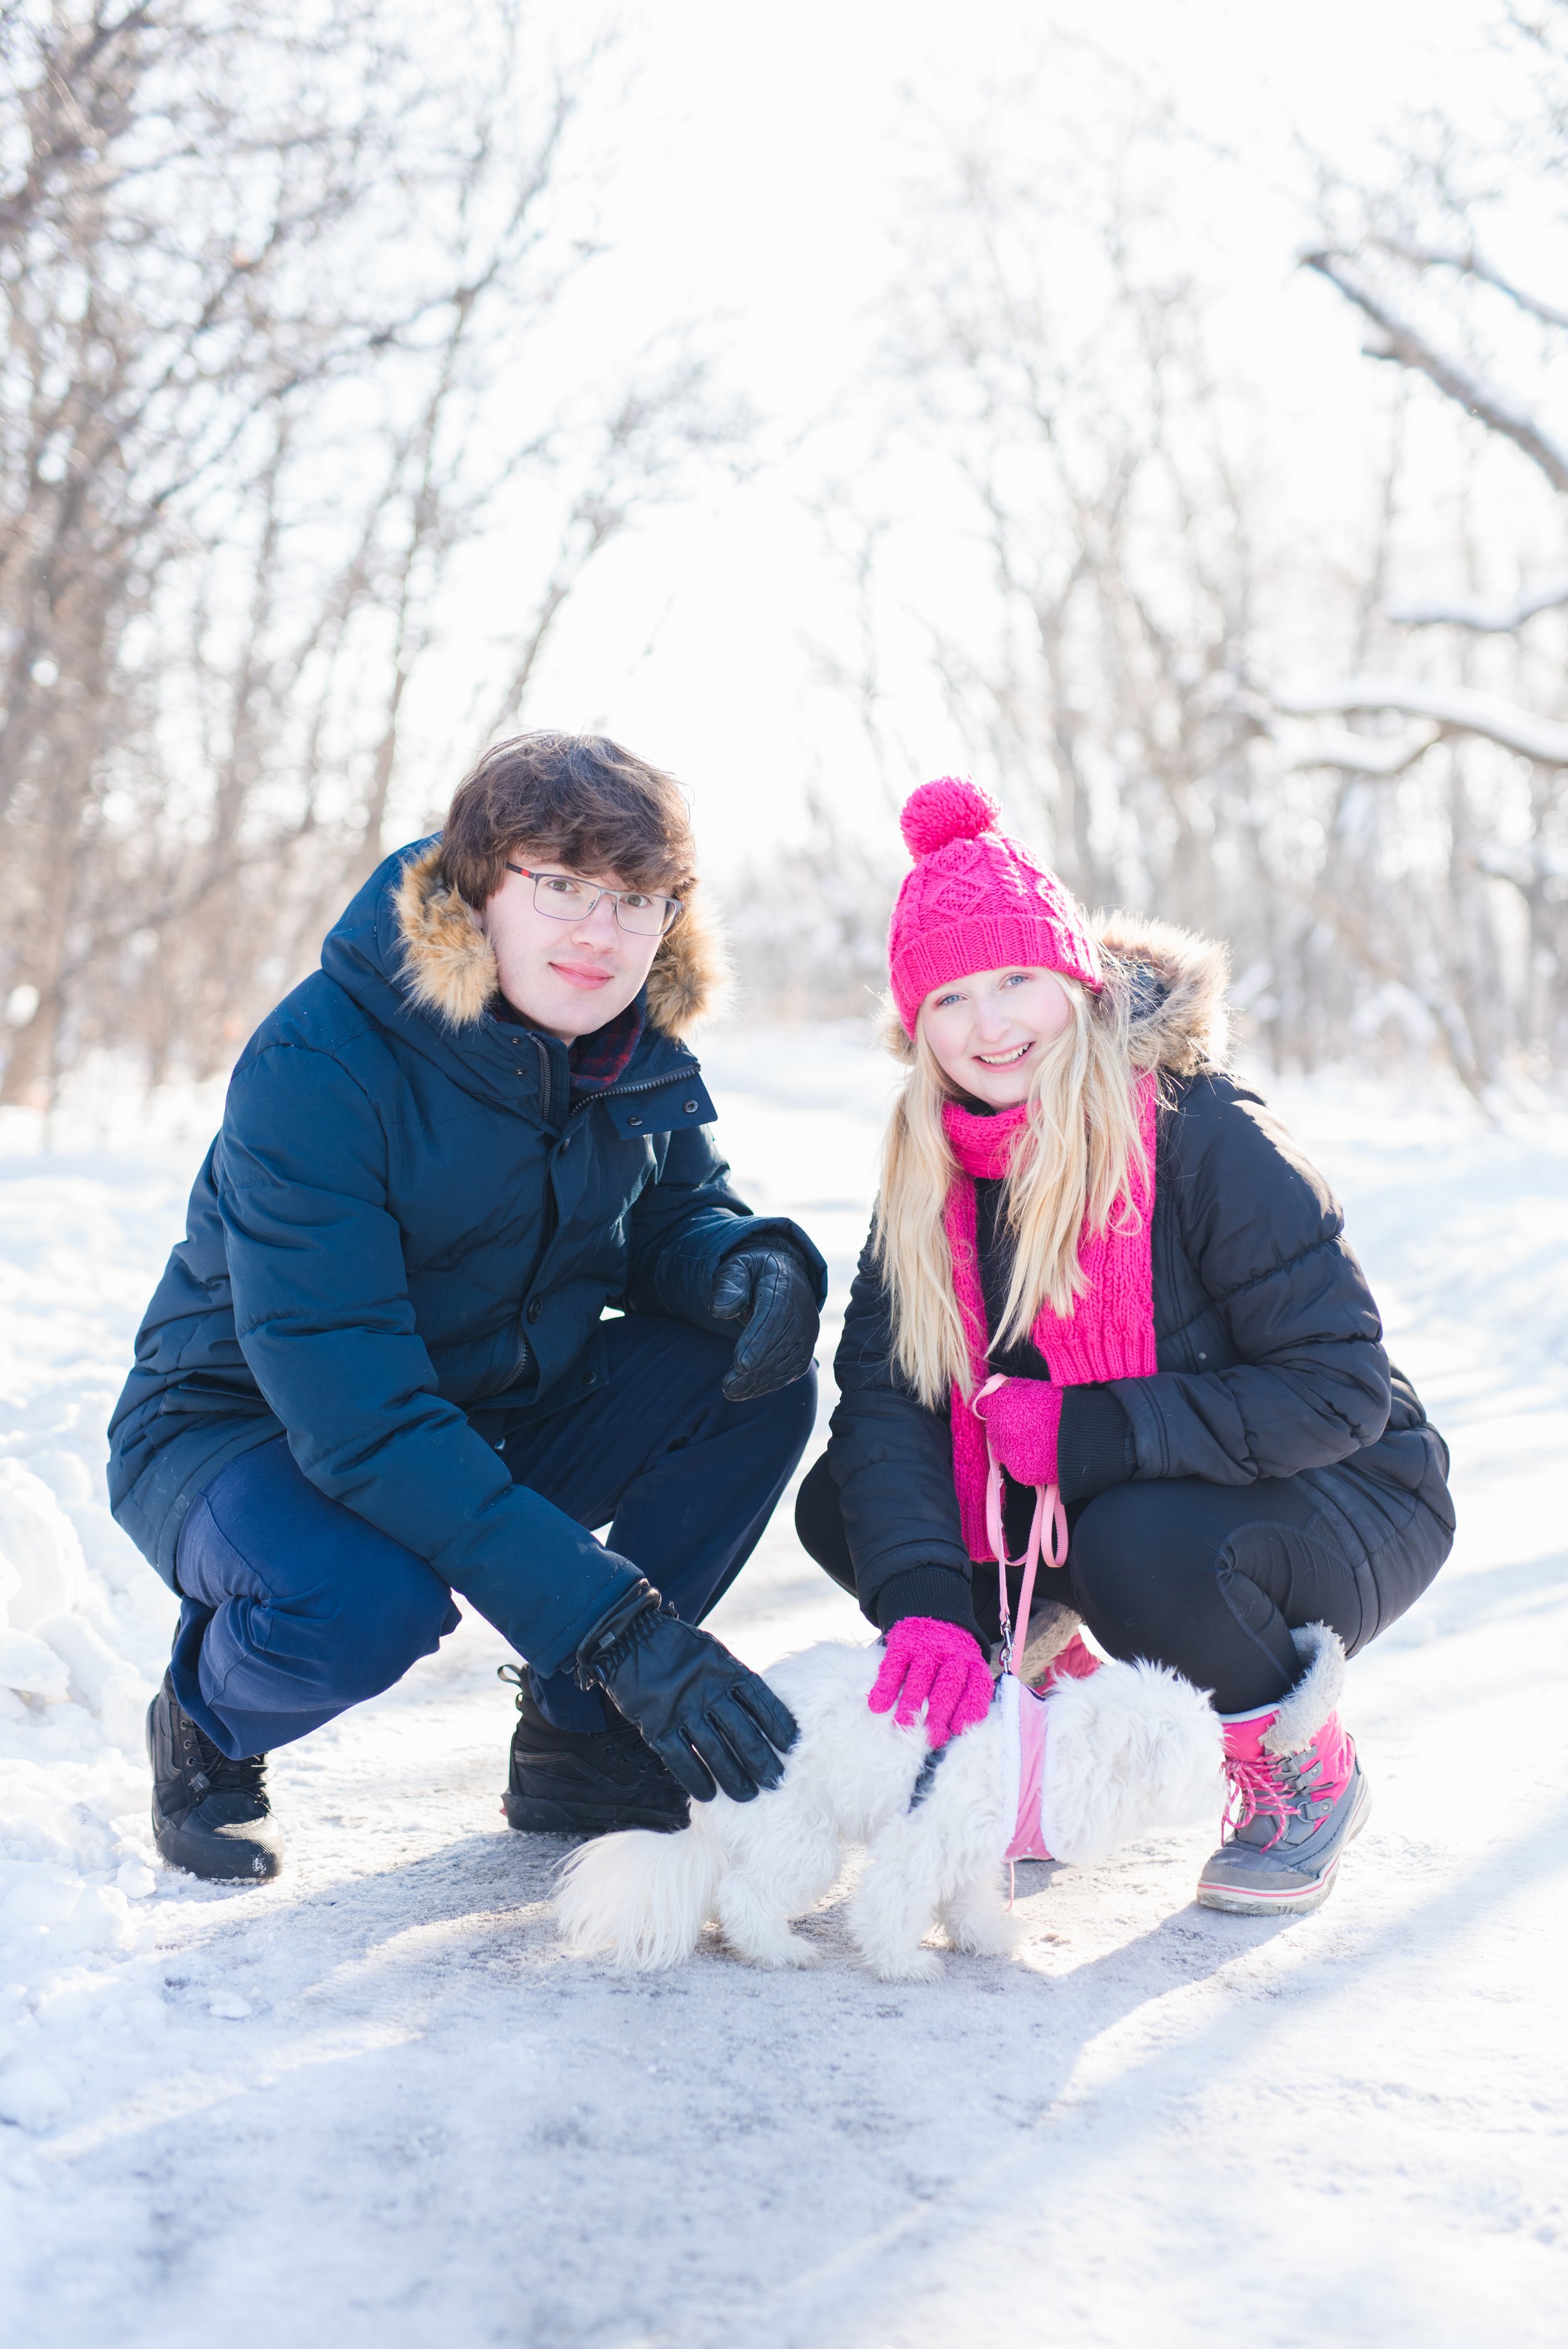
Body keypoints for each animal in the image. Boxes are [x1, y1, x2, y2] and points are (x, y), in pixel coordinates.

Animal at [551, 1635, 1221, 1982]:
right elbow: (895, 1907)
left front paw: (987, 1937)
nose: (1227, 1774)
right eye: (1206, 1758)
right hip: (806, 1842)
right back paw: (778, 1951)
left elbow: (970, 1904)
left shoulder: (969, 1853)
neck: (1042, 1756)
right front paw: (903, 1963)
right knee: (742, 1894)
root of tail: (704, 1799)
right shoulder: (919, 1844)